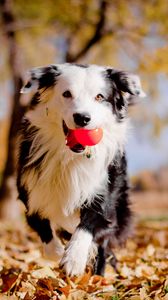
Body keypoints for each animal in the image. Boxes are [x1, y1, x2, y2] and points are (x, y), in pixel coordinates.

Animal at [17, 63, 146, 276]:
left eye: (100, 97)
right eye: (67, 94)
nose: (82, 118)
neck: (71, 157)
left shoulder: (104, 195)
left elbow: (87, 226)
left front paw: (74, 259)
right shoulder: (30, 193)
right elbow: (43, 229)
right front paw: (58, 251)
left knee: (102, 246)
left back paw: (98, 276)